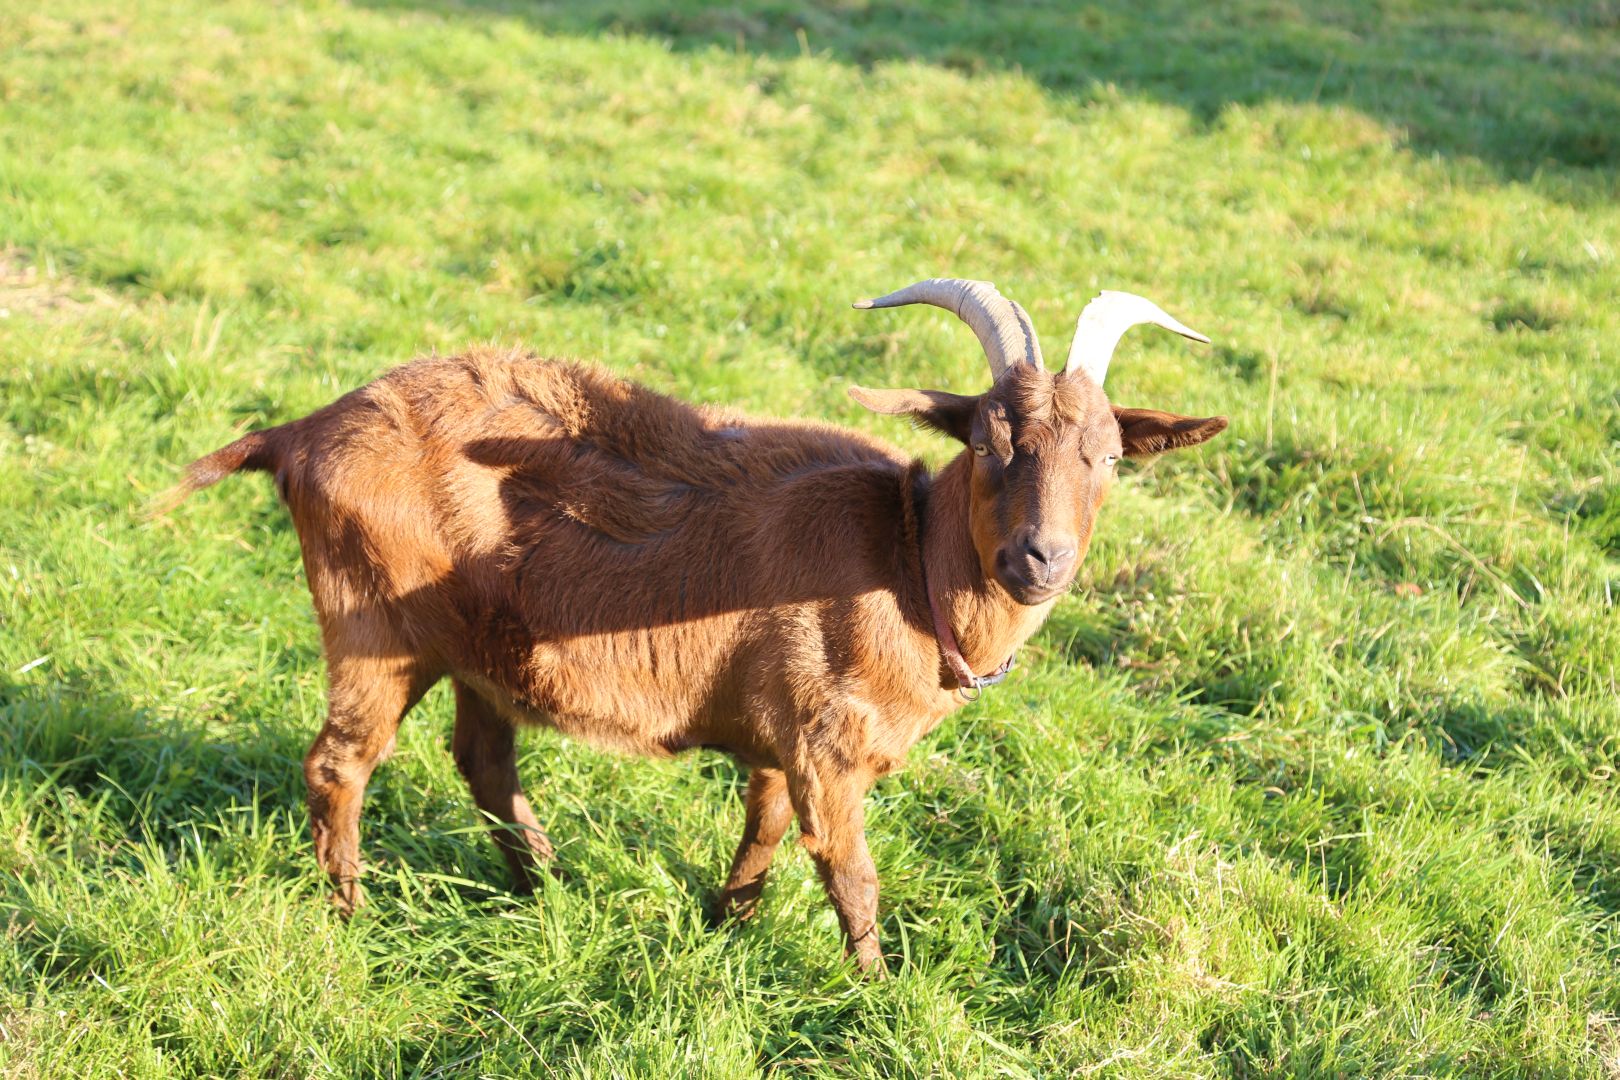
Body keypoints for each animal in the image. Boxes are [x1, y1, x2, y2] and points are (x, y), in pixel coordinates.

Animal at [170, 276, 1218, 971]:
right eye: (991, 443)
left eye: (1108, 456)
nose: (1041, 559)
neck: (906, 562)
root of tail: (300, 432)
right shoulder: (827, 746)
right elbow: (850, 872)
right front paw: (877, 993)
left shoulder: (780, 732)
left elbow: (761, 836)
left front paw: (727, 927)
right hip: (376, 626)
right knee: (338, 765)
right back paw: (351, 916)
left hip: (479, 651)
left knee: (483, 761)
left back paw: (544, 887)